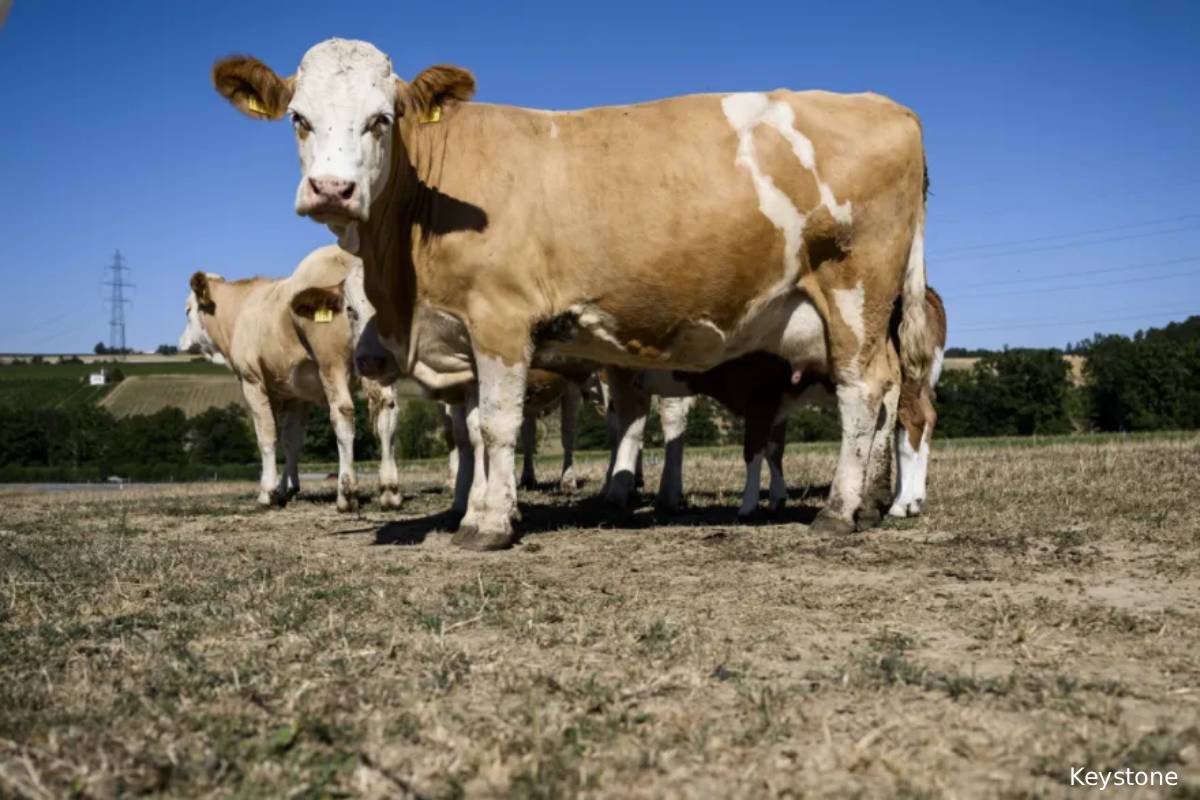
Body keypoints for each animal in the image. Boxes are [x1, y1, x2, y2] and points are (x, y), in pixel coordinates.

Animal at [178, 244, 403, 512]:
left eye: (188, 310)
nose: (181, 343)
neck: (242, 311)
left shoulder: (252, 382)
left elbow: (266, 435)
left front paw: (267, 491)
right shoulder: (297, 395)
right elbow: (292, 441)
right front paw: (289, 487)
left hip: (332, 364)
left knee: (343, 413)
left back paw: (346, 494)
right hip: (380, 364)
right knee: (388, 411)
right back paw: (390, 491)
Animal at [211, 38, 935, 550]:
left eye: (381, 119)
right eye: (299, 119)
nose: (331, 190)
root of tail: (886, 105)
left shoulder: (501, 318)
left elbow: (497, 426)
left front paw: (489, 526)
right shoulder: (467, 335)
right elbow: (474, 432)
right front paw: (478, 511)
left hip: (854, 292)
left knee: (865, 392)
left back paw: (840, 510)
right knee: (887, 395)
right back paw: (871, 504)